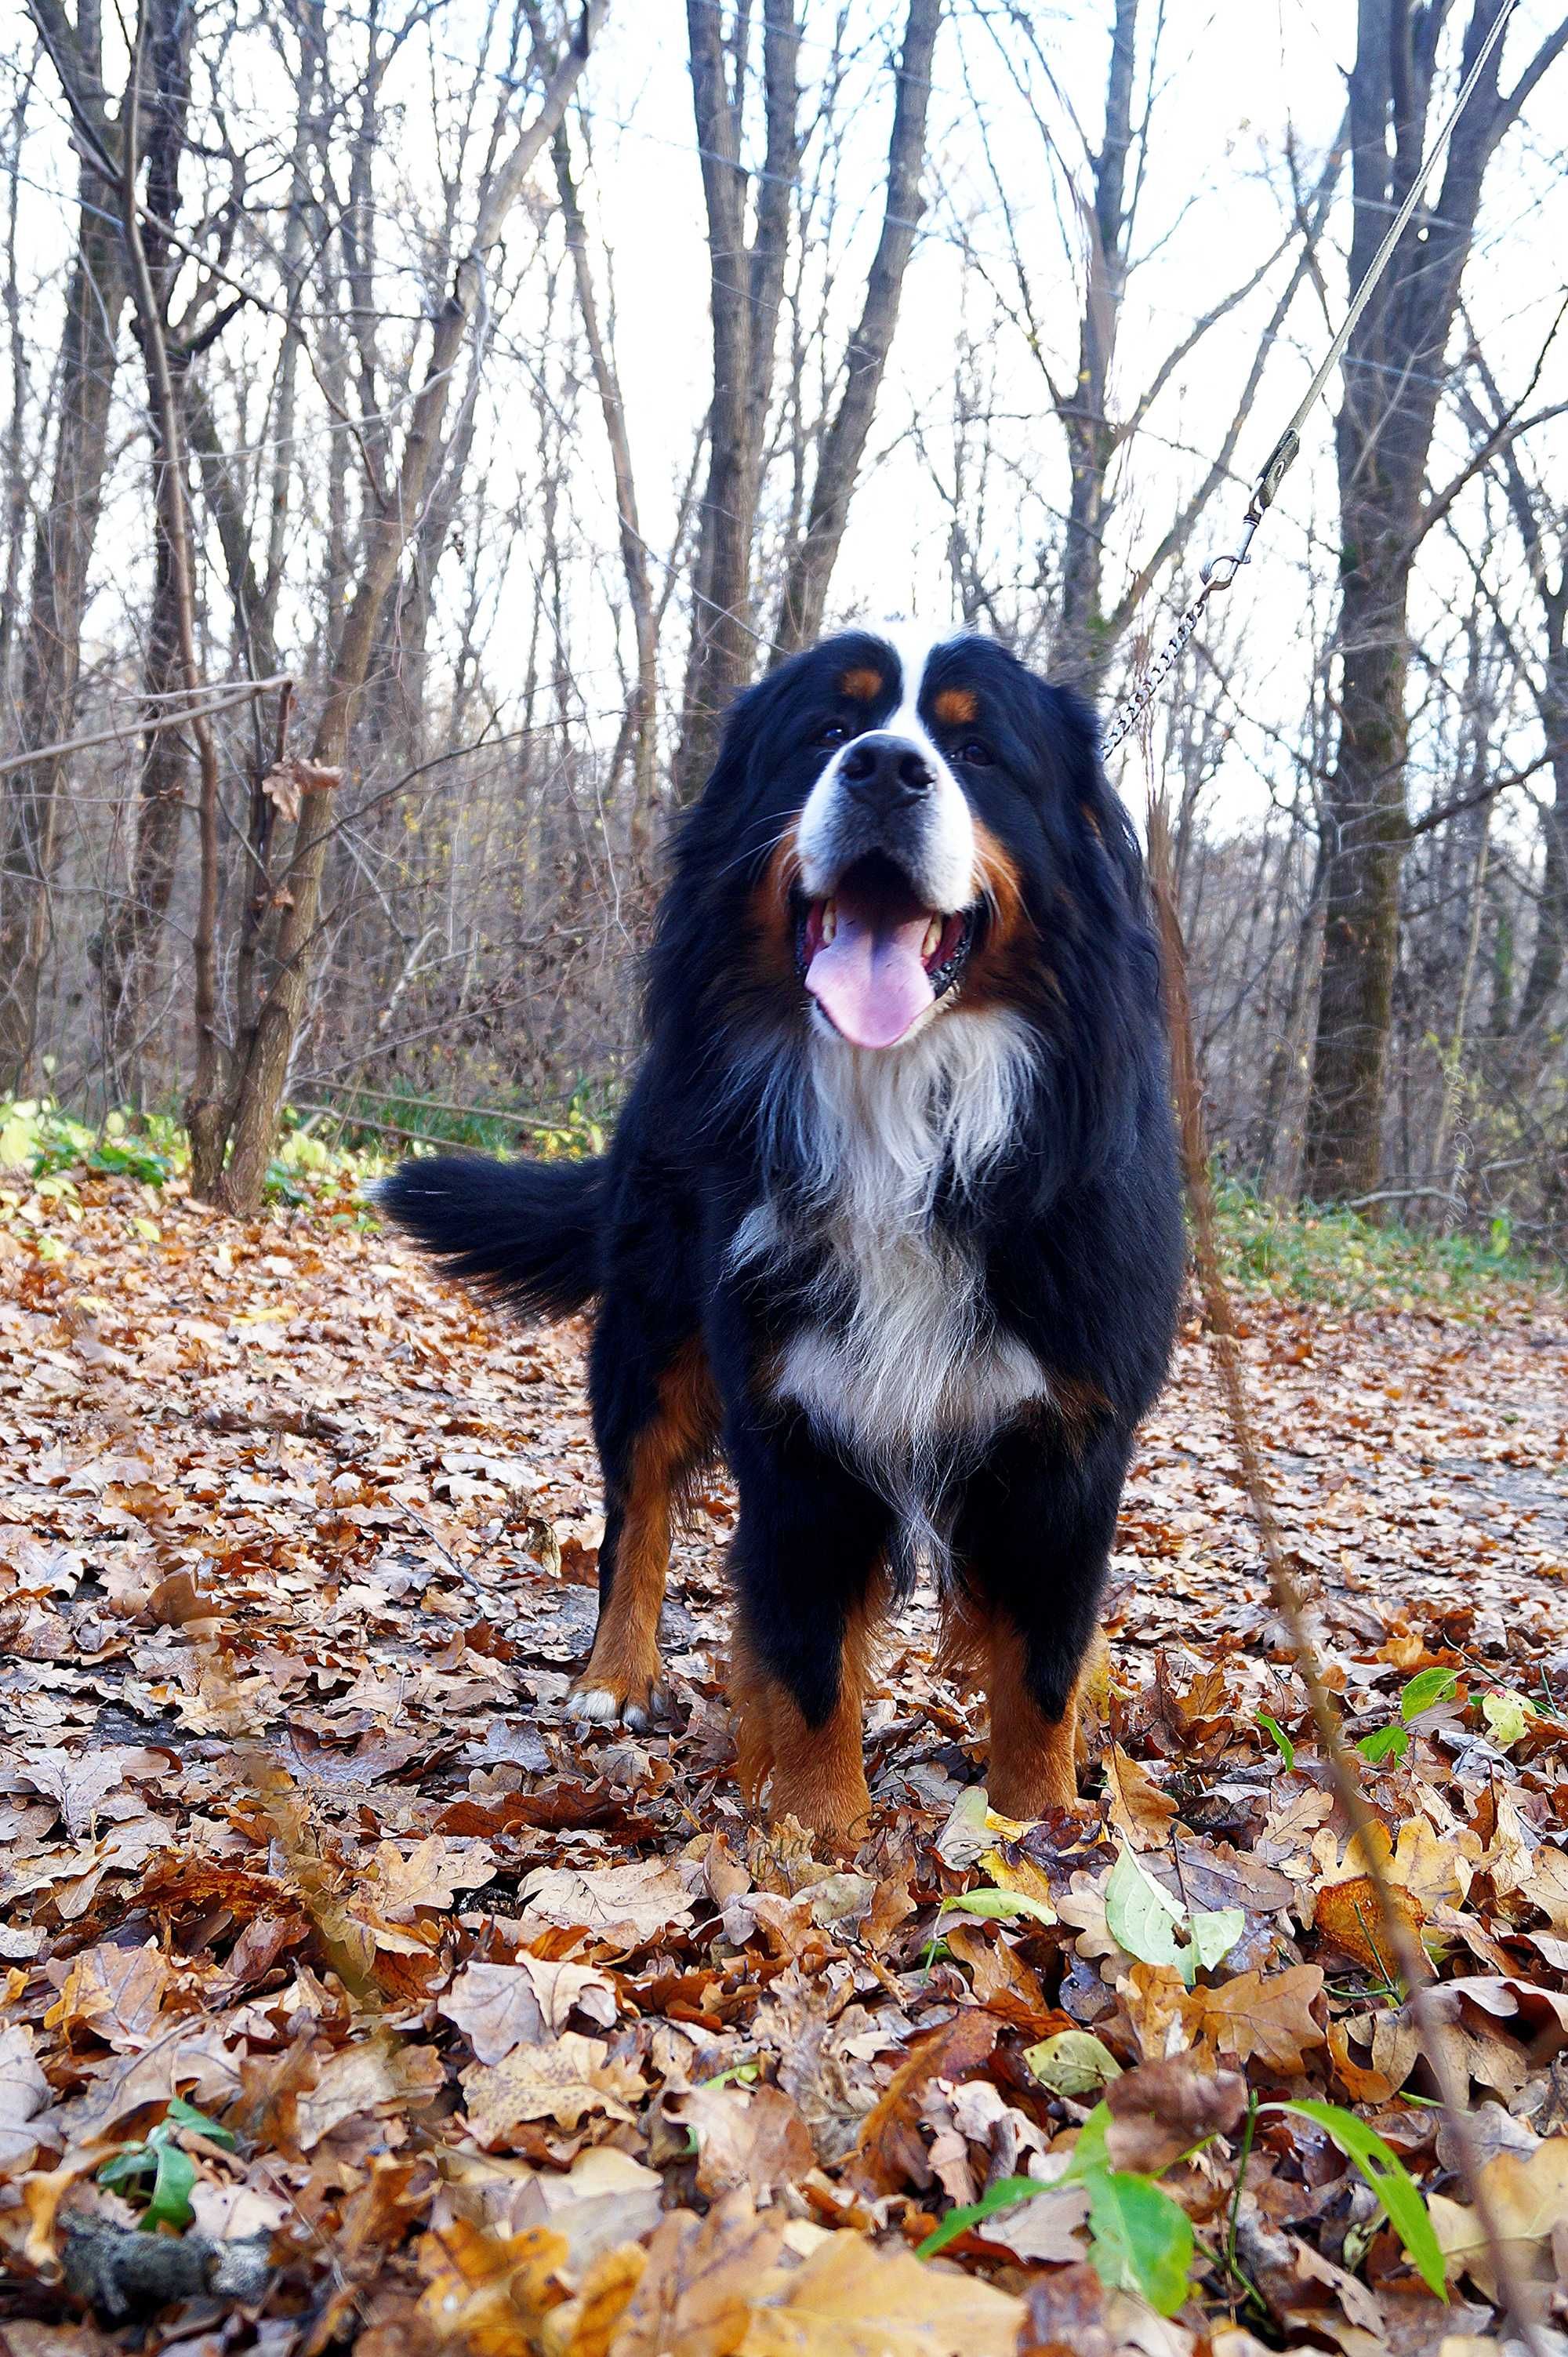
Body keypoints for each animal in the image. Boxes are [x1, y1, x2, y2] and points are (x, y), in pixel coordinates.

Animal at [384, 636, 1178, 1847]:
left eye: (977, 748)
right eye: (825, 731)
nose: (886, 769)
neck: (901, 1119)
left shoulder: (1069, 1436)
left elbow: (1041, 1663)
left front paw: (1039, 1829)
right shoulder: (795, 1416)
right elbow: (807, 1659)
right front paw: (820, 1834)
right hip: (654, 1335)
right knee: (637, 1514)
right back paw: (616, 1677)